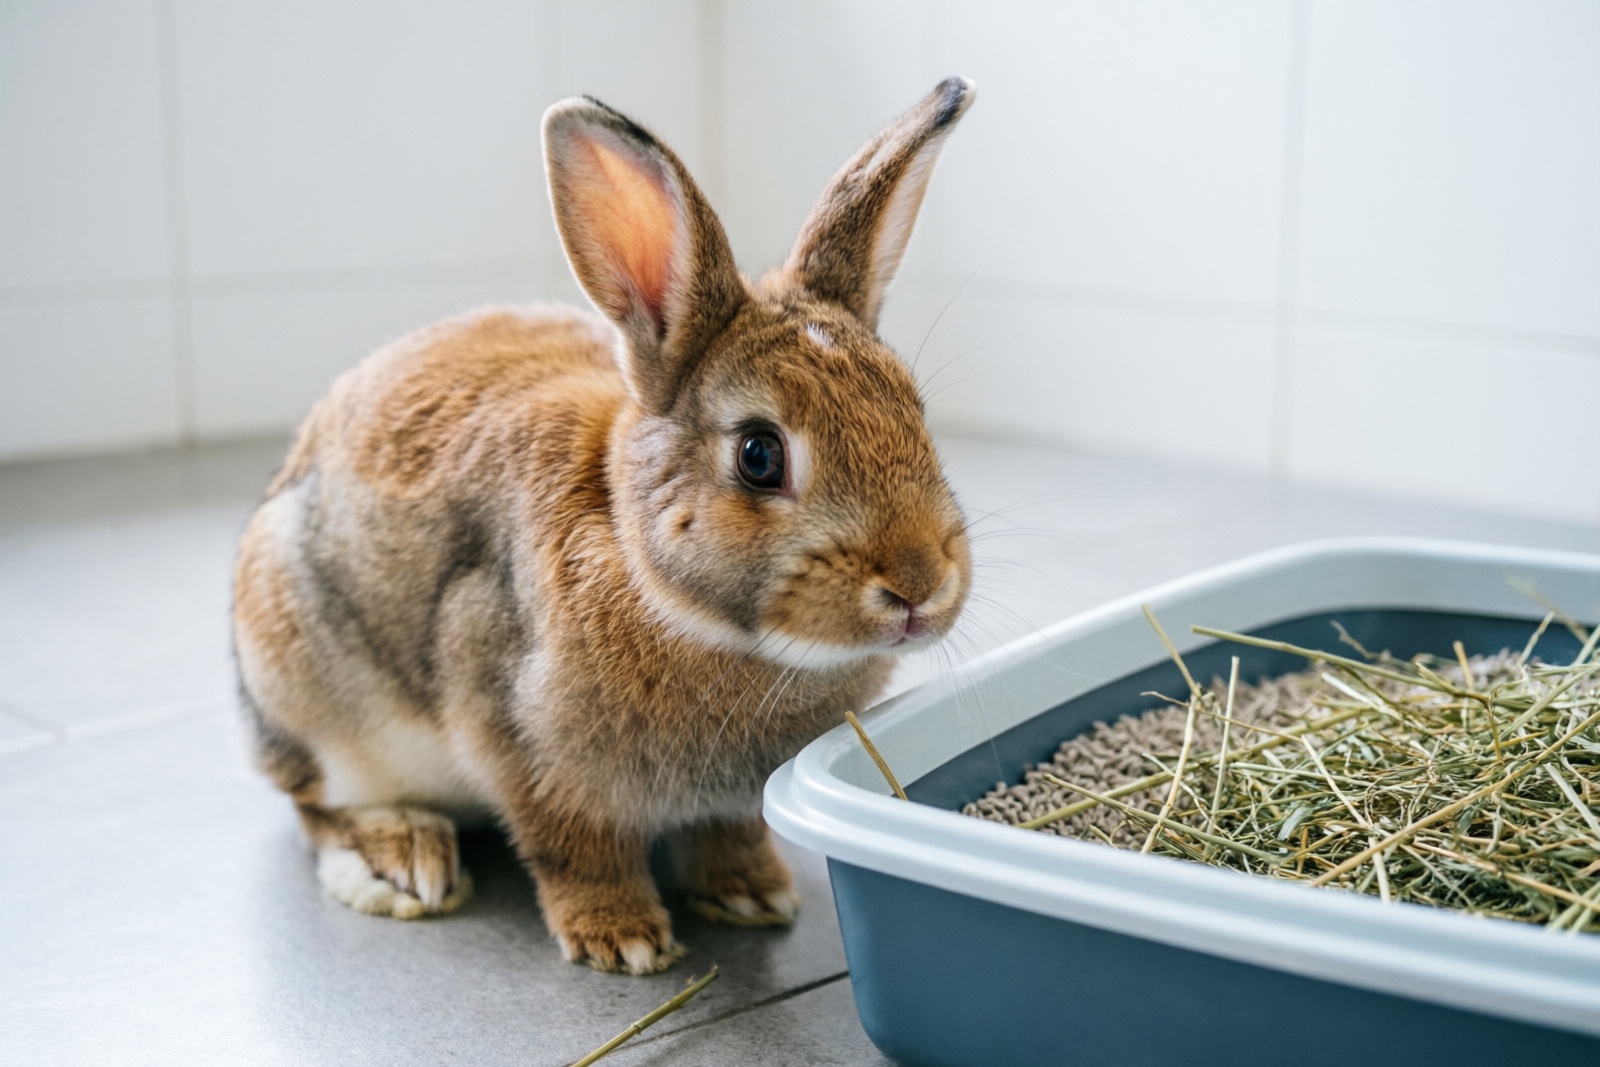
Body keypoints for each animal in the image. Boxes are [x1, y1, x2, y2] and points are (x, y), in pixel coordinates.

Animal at [232, 76, 976, 975]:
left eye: (917, 415)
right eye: (760, 455)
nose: (919, 585)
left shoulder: (727, 798)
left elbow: (726, 833)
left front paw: (752, 894)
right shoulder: (523, 739)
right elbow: (573, 846)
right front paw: (620, 938)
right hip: (311, 693)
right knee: (313, 805)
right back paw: (401, 858)